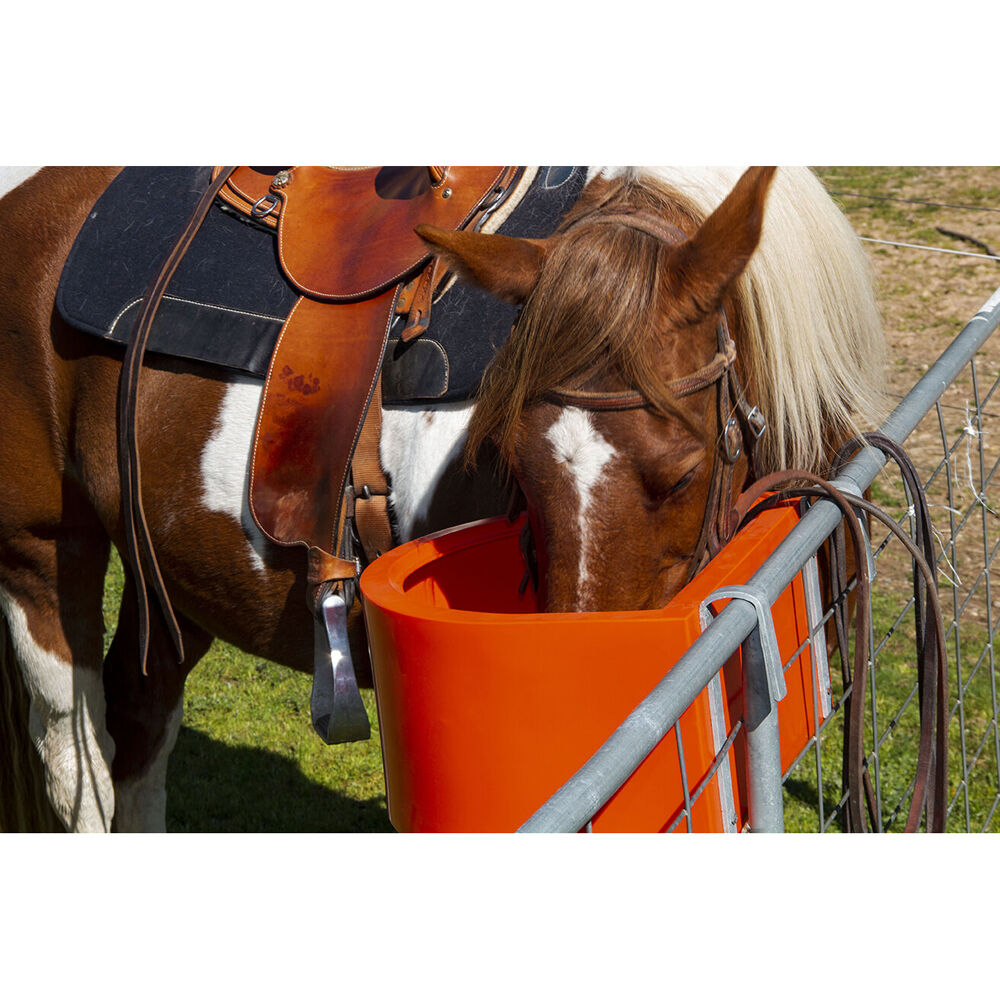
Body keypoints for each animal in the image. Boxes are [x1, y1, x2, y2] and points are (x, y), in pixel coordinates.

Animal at [0, 166, 884, 832]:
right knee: (77, 757)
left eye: (682, 472)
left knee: (141, 720)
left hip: (172, 576)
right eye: (513, 466)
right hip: (43, 554)